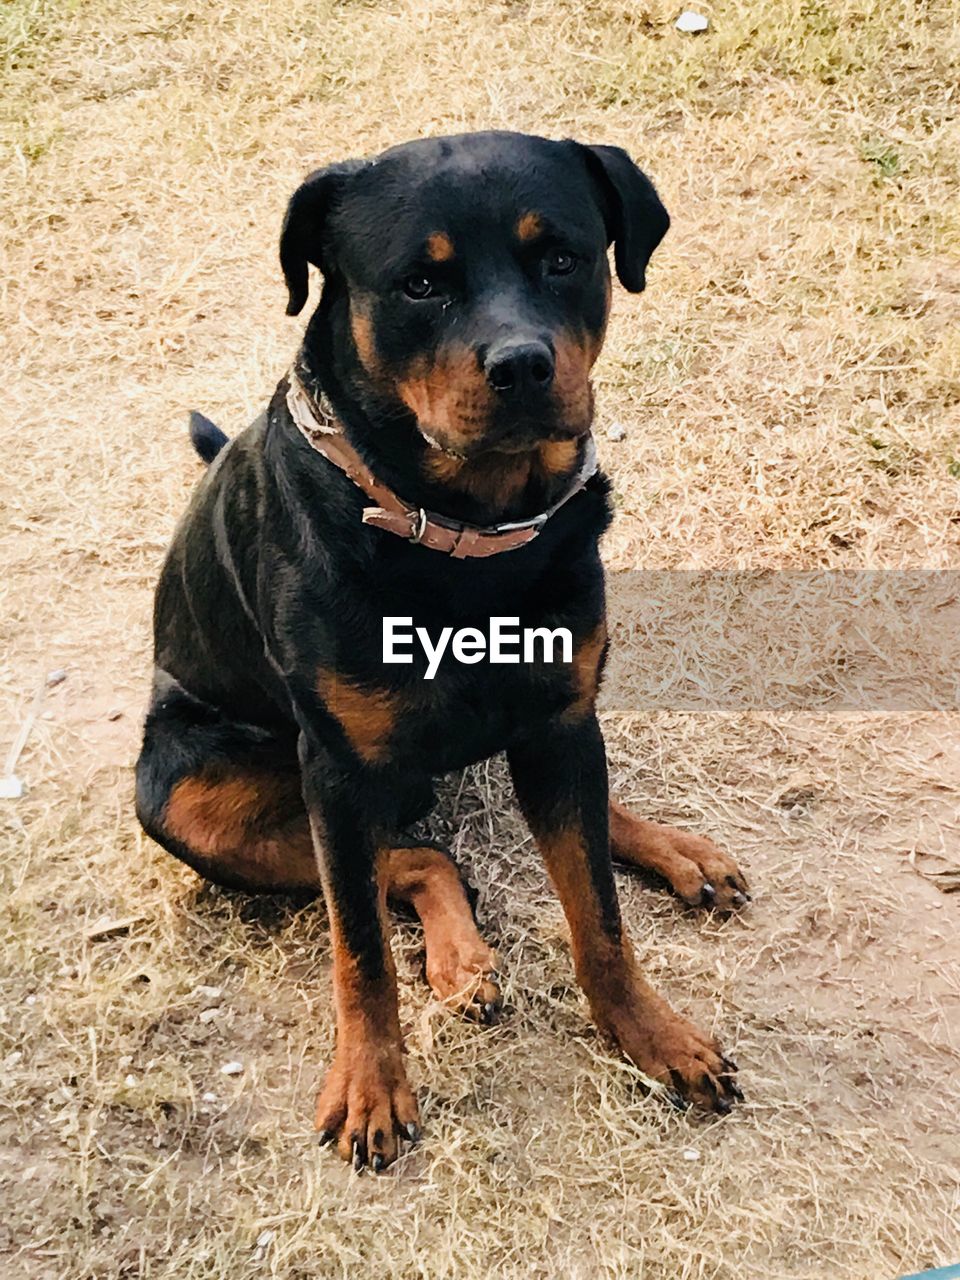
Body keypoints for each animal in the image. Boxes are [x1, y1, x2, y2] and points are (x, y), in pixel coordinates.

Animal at [135, 129, 752, 1172]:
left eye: (562, 258)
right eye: (419, 285)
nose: (523, 366)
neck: (464, 531)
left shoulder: (557, 718)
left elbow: (599, 917)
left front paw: (652, 1036)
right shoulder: (334, 774)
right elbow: (359, 951)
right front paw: (371, 1085)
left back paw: (674, 851)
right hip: (183, 796)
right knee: (418, 854)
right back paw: (461, 960)